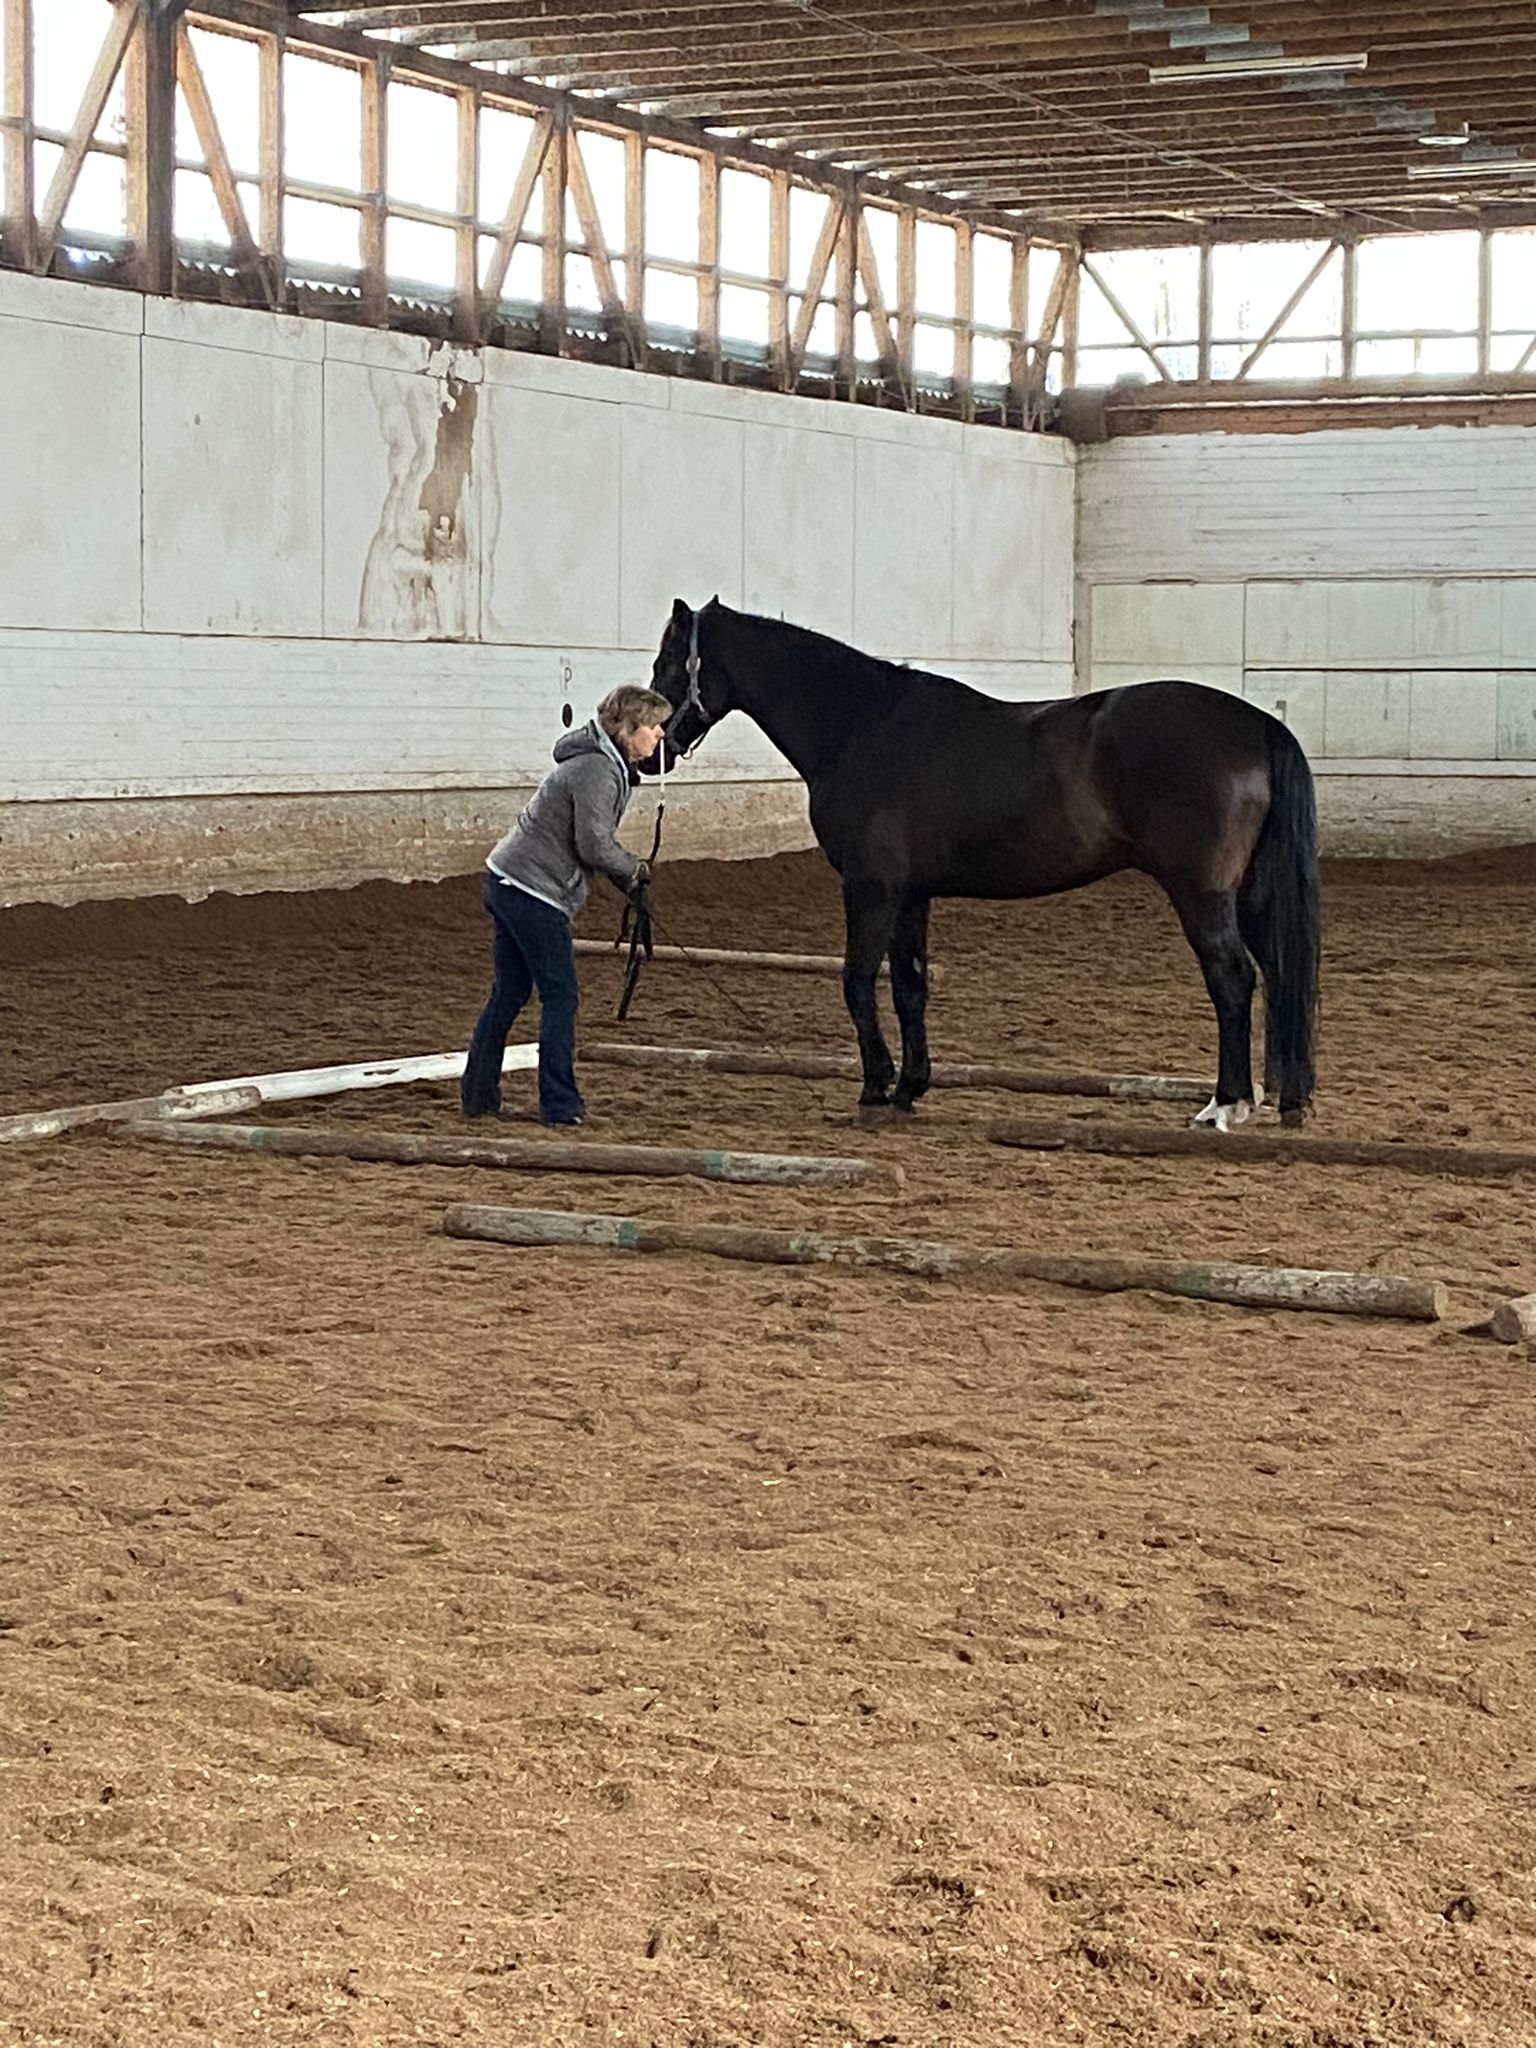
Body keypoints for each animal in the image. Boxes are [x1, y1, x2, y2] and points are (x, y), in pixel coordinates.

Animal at [651, 598, 1327, 1130]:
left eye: (668, 663)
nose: (654, 752)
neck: (862, 727)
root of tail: (1258, 725)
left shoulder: (871, 888)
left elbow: (856, 980)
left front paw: (875, 1086)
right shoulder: (910, 894)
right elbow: (910, 987)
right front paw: (910, 1086)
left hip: (1202, 894)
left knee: (1232, 979)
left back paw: (1226, 1104)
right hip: (1250, 894)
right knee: (1278, 975)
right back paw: (1286, 1099)